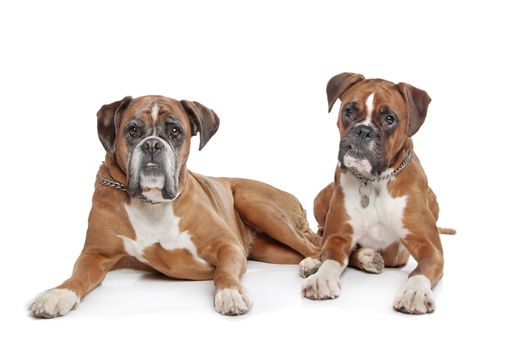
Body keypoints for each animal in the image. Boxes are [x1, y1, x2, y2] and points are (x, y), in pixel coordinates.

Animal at [29, 95, 320, 318]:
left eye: (175, 131)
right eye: (133, 130)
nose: (152, 144)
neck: (152, 201)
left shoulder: (228, 246)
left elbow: (224, 272)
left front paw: (230, 293)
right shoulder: (95, 255)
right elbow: (79, 275)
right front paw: (58, 293)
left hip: (255, 203)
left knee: (313, 245)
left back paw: (314, 266)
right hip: (267, 249)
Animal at [298, 73, 454, 314]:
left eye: (390, 118)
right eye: (349, 111)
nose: (363, 130)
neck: (374, 182)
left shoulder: (429, 247)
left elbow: (420, 270)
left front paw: (415, 291)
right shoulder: (338, 237)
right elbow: (331, 258)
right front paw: (321, 277)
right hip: (321, 198)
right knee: (321, 239)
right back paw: (321, 261)